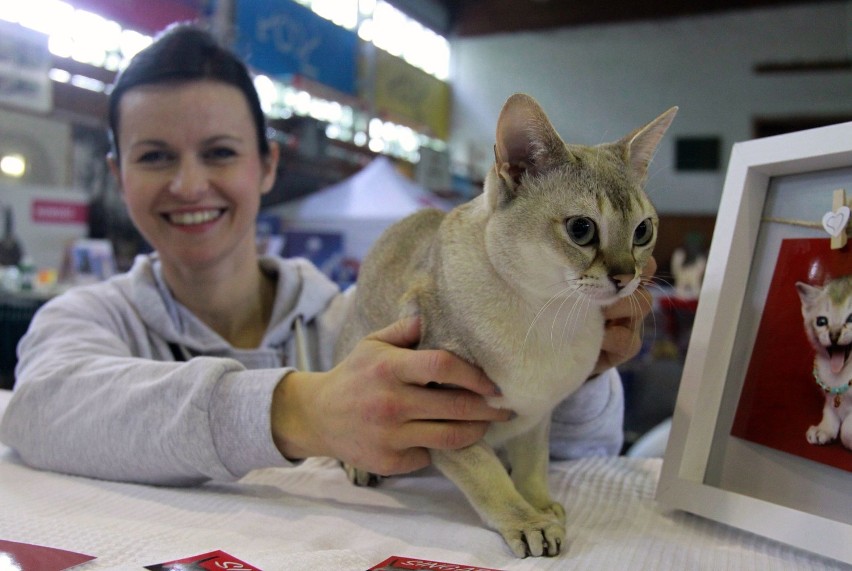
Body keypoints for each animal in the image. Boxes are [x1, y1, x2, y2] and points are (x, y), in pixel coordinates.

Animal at [336, 95, 676, 560]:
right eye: (581, 229)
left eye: (643, 231)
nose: (627, 278)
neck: (546, 315)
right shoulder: (441, 415)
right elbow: (486, 474)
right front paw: (529, 522)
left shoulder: (538, 413)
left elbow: (534, 464)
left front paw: (540, 503)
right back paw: (358, 463)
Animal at [800, 278, 852, 452]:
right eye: (821, 321)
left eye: (851, 318)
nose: (834, 335)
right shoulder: (830, 395)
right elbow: (829, 409)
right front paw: (824, 430)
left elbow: (847, 429)